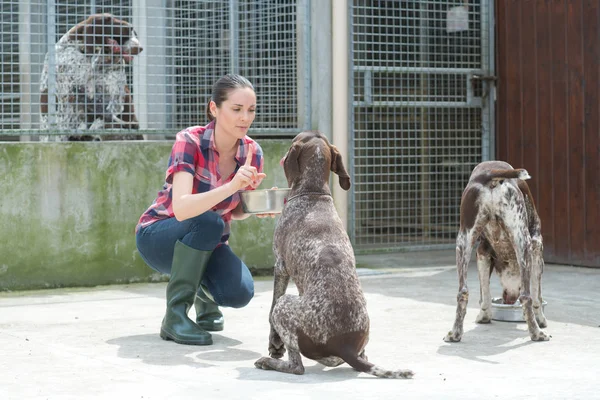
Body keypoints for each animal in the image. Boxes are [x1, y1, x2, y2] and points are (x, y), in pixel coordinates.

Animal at [252, 130, 412, 378]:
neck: (313, 192)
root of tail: (346, 347)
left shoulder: (280, 266)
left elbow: (270, 307)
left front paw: (274, 345)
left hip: (285, 306)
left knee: (297, 366)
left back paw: (270, 363)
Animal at [442, 161, 552, 342]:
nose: (508, 300)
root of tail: (489, 173)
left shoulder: (482, 253)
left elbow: (485, 295)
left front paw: (484, 317)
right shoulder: (537, 249)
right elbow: (537, 296)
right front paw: (541, 320)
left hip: (463, 241)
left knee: (463, 292)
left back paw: (455, 333)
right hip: (524, 241)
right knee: (526, 296)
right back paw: (536, 333)